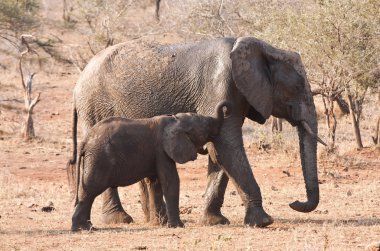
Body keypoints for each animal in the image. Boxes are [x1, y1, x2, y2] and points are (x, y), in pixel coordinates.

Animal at [71, 100, 232, 231]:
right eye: (206, 127)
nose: (227, 108)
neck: (175, 120)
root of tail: (85, 141)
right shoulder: (161, 150)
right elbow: (170, 181)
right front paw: (178, 226)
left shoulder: (157, 153)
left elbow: (155, 183)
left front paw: (161, 224)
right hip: (99, 158)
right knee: (91, 189)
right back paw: (82, 228)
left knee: (87, 190)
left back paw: (85, 227)